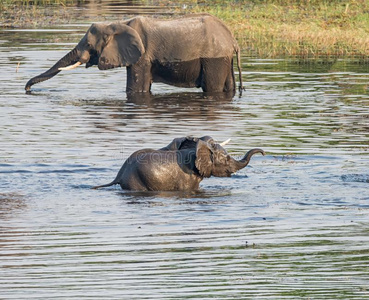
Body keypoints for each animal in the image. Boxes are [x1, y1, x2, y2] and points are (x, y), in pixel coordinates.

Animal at [24, 13, 243, 94]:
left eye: (88, 44)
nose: (26, 89)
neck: (117, 23)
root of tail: (233, 40)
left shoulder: (142, 57)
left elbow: (136, 89)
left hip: (214, 59)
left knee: (212, 88)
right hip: (224, 59)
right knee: (229, 86)